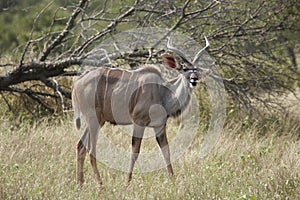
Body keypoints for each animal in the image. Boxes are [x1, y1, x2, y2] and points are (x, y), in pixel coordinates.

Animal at [71, 36, 210, 189]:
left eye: (197, 70)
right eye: (184, 68)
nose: (194, 79)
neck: (162, 92)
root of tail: (76, 84)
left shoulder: (159, 126)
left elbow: (166, 151)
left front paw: (173, 181)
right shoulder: (139, 122)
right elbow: (135, 151)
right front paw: (127, 183)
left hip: (98, 120)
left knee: (80, 146)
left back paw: (80, 184)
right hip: (93, 119)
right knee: (91, 151)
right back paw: (100, 186)